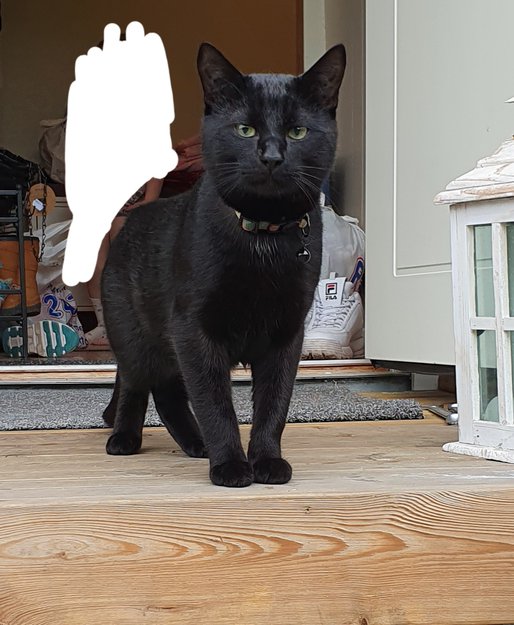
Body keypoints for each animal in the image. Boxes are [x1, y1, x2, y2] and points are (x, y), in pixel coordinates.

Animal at [101, 42, 346, 487]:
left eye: (297, 132)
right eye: (244, 129)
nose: (271, 156)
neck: (262, 237)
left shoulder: (287, 332)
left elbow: (275, 403)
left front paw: (266, 460)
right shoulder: (193, 329)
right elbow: (216, 404)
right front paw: (231, 465)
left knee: (168, 393)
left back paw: (195, 444)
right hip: (134, 336)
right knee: (135, 383)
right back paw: (125, 437)